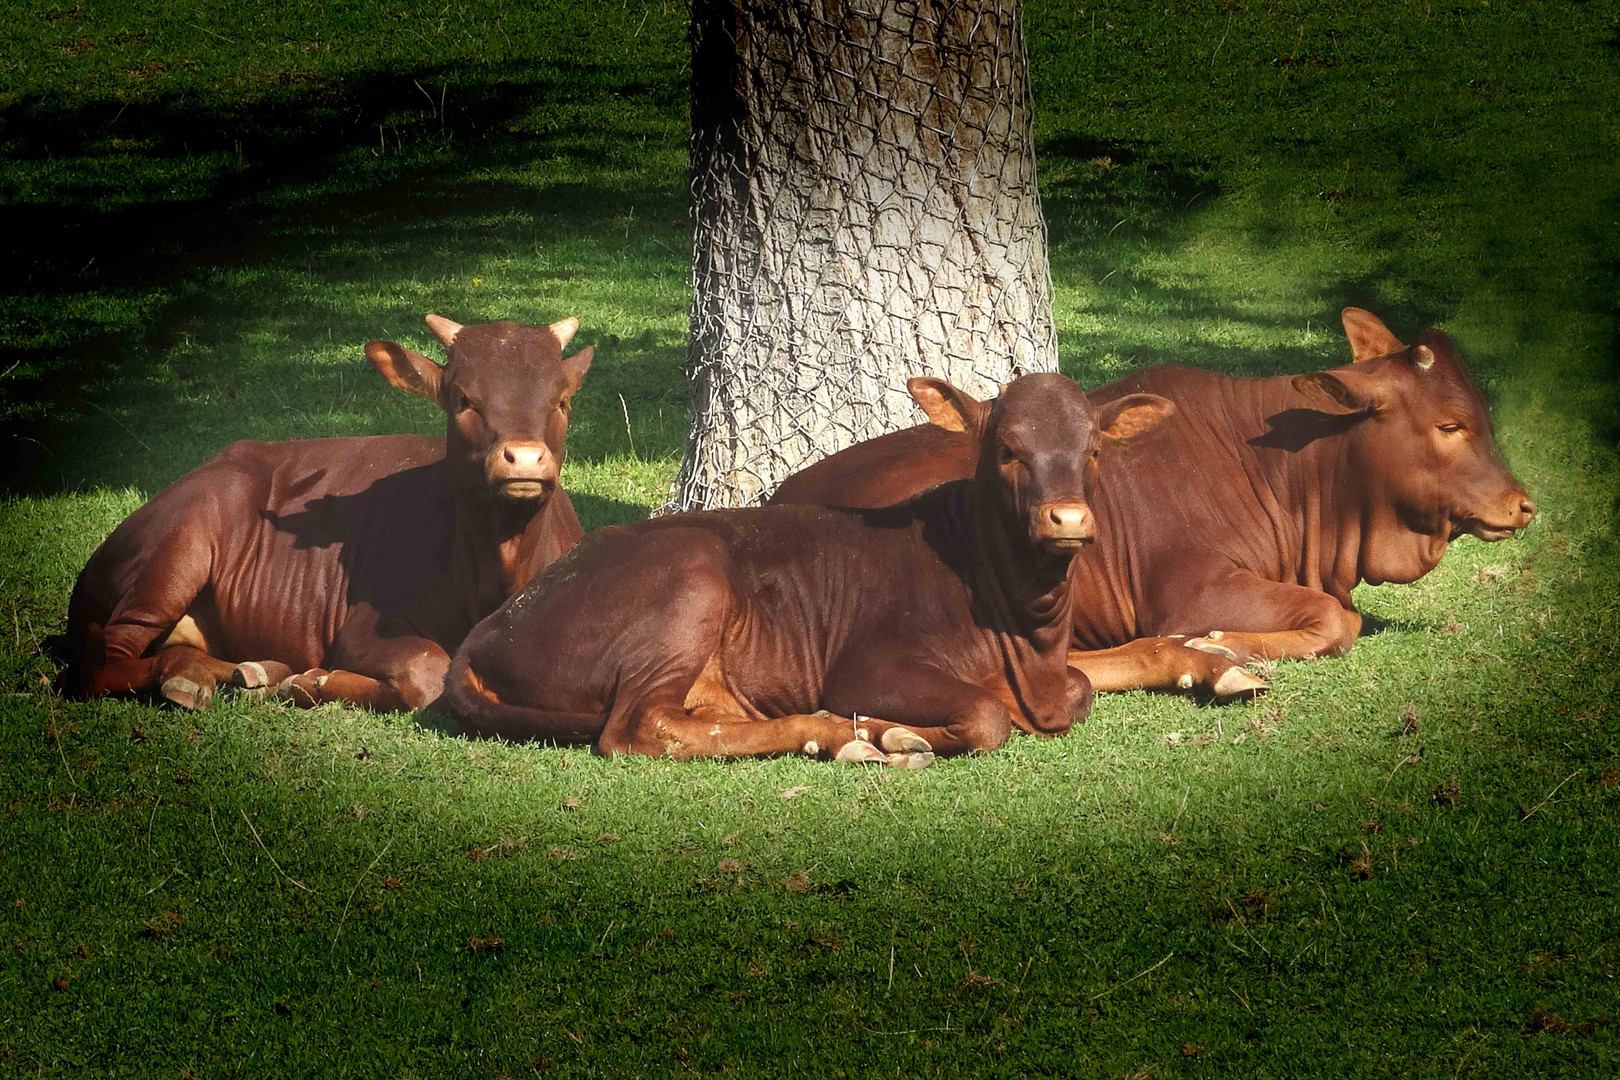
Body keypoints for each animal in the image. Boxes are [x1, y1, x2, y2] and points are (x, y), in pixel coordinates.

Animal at [66, 314, 596, 709]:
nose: (523, 458)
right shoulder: (360, 629)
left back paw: (251, 670)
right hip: (177, 551)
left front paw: (303, 679)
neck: (496, 574)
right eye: (463, 399)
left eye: (562, 401)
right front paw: (316, 681)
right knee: (106, 660)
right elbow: (427, 671)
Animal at [450, 375, 1172, 764]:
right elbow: (987, 716)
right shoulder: (869, 665)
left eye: (1094, 449)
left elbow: (1082, 689)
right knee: (637, 727)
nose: (1068, 518)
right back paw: (844, 731)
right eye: (1007, 451)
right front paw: (905, 731)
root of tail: (488, 628)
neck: (1029, 638)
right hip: (691, 576)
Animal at [771, 312, 1529, 702]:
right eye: (1451, 425)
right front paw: (1225, 639)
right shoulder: (1190, 588)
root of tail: (781, 494)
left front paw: (1217, 649)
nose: (1523, 505)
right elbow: (1337, 620)